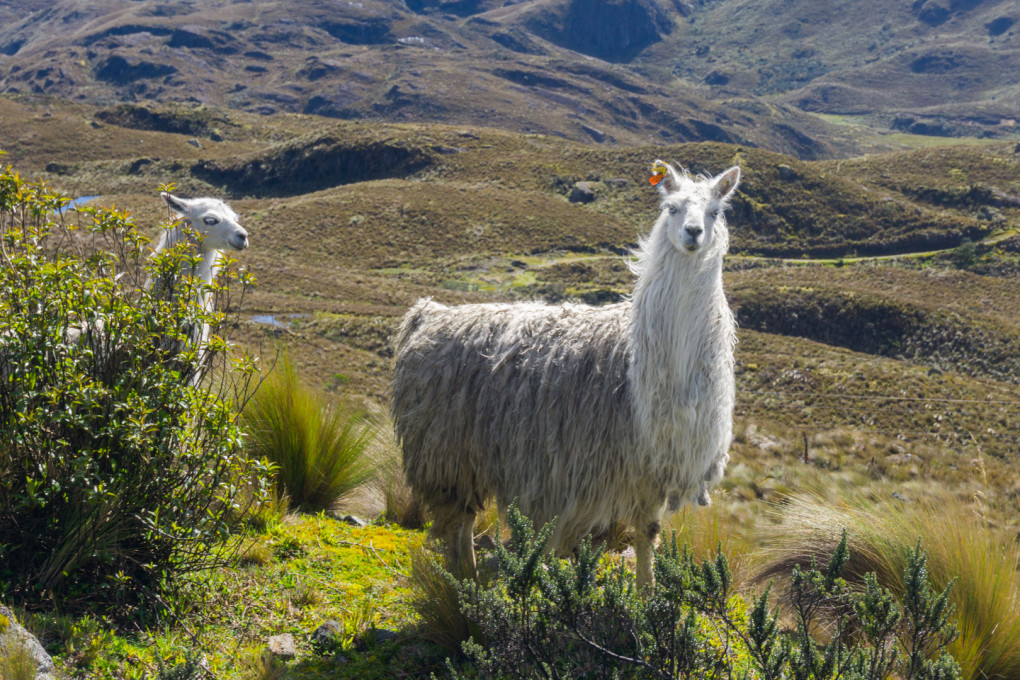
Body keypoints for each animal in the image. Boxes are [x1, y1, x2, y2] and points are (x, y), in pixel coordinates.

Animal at [391, 160, 740, 586]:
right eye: (671, 208)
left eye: (715, 212)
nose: (693, 233)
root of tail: (428, 313)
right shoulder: (611, 465)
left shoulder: (653, 468)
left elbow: (647, 533)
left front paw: (647, 592)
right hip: (446, 450)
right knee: (460, 521)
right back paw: (467, 580)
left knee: (463, 522)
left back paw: (468, 578)